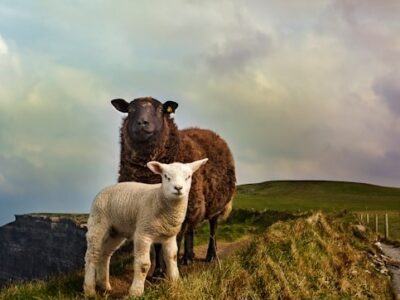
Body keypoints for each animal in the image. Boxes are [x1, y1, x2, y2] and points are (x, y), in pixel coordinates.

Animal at [84, 158, 209, 296]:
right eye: (166, 176)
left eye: (188, 177)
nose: (178, 188)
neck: (159, 198)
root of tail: (104, 189)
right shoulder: (143, 233)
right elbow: (144, 264)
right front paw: (136, 292)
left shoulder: (169, 236)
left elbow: (172, 258)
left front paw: (176, 283)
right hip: (98, 223)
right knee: (92, 255)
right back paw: (89, 290)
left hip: (115, 231)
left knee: (105, 254)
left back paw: (104, 285)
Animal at [111, 96, 236, 272]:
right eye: (130, 109)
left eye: (160, 109)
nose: (142, 123)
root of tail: (211, 133)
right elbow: (158, 245)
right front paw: (157, 271)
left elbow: (173, 243)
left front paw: (167, 272)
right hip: (195, 203)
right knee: (191, 229)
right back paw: (188, 258)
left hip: (215, 203)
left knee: (213, 228)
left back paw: (211, 255)